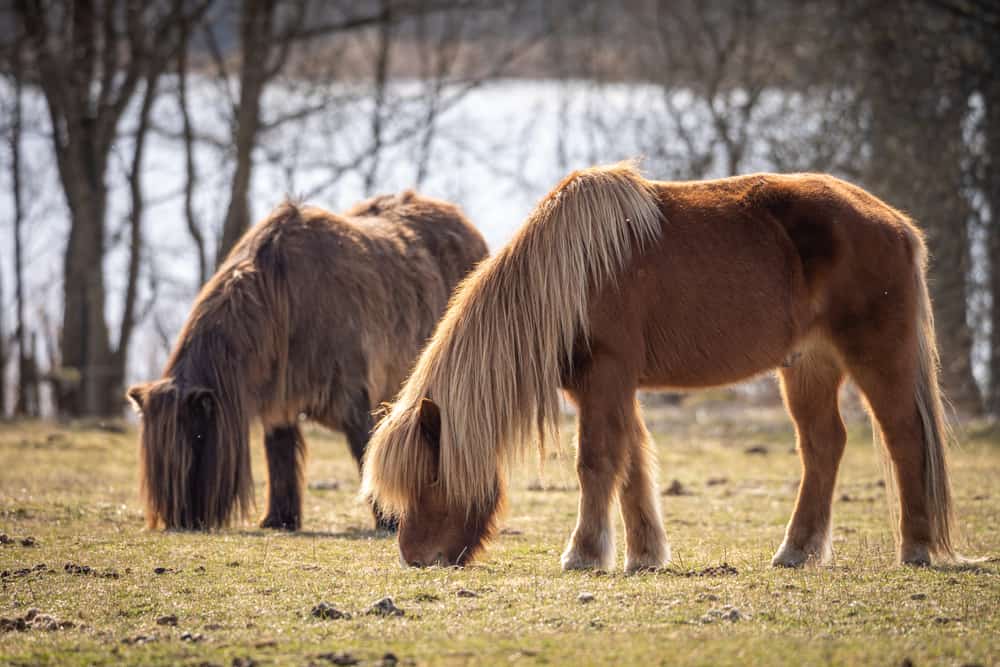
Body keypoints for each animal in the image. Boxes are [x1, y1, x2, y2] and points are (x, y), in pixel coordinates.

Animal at [127, 191, 488, 532]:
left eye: (197, 440)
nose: (181, 520)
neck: (281, 297)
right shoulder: (281, 401)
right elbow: (280, 455)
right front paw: (279, 520)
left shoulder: (353, 394)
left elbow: (366, 449)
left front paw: (389, 520)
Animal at [362, 161, 960, 571]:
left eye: (432, 474)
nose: (415, 556)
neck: (573, 274)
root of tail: (897, 225)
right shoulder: (608, 387)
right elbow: (631, 465)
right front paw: (644, 555)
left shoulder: (606, 378)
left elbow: (597, 462)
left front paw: (584, 554)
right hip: (808, 366)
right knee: (823, 446)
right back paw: (796, 550)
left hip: (876, 355)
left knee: (904, 438)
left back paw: (915, 548)